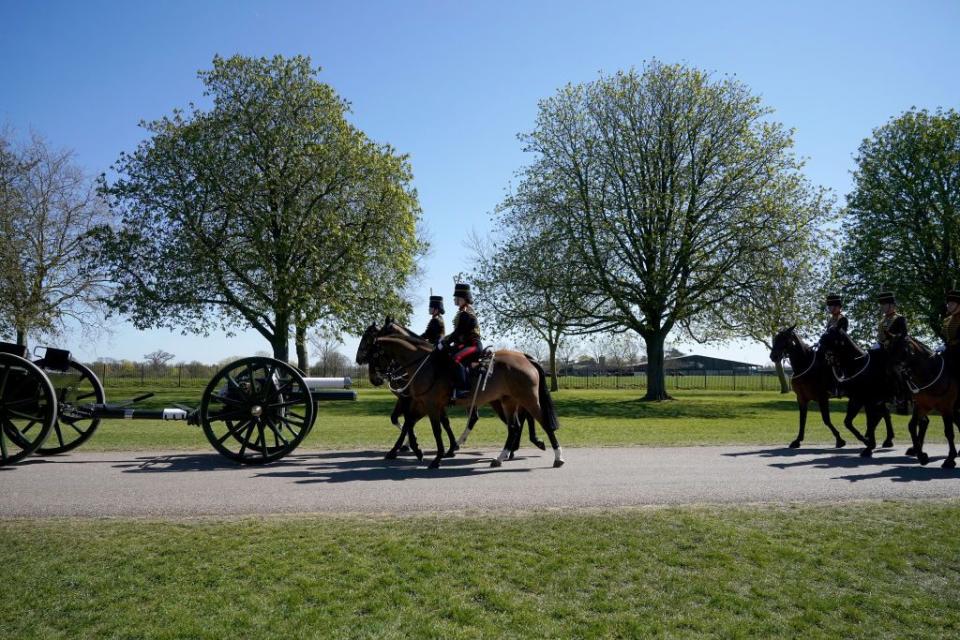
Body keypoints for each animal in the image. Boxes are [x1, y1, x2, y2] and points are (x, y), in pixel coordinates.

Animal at [356, 322, 568, 468]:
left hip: (527, 398)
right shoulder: (420, 403)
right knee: (514, 426)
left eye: (368, 343)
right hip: (508, 401)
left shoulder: (428, 403)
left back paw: (556, 456)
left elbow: (434, 429)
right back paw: (503, 455)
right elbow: (409, 422)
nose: (373, 377)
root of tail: (526, 358)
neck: (422, 363)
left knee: (540, 421)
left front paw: (436, 456)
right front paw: (416, 449)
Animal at [816, 328, 900, 458]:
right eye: (821, 339)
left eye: (828, 338)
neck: (858, 366)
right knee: (885, 414)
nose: (818, 356)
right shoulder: (856, 399)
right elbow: (848, 422)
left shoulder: (866, 400)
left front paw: (868, 445)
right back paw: (887, 439)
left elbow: (869, 421)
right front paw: (866, 441)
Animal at [884, 332, 960, 468]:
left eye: (902, 349)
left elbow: (949, 432)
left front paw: (950, 459)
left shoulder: (946, 408)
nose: (890, 373)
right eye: (887, 349)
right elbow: (912, 426)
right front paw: (921, 456)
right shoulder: (921, 406)